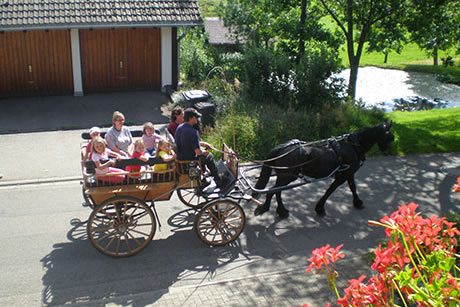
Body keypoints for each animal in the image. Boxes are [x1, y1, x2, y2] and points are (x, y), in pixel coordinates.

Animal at [252, 121, 396, 218]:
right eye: (388, 134)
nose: (388, 151)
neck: (353, 146)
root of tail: (283, 147)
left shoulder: (349, 173)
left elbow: (353, 187)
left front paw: (358, 202)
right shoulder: (343, 175)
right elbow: (330, 190)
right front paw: (320, 208)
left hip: (284, 176)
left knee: (276, 191)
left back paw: (278, 210)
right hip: (287, 176)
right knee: (274, 190)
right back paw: (271, 209)